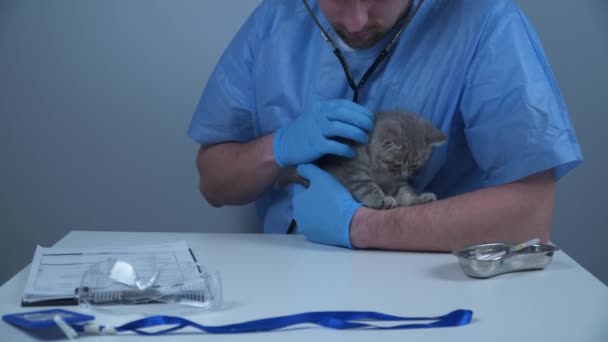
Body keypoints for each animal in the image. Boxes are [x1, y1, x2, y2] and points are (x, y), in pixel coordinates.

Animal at [278, 111, 444, 210]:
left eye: (415, 165)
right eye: (397, 164)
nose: (405, 175)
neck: (381, 170)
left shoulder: (395, 182)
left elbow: (404, 192)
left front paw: (417, 199)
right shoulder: (353, 170)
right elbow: (366, 185)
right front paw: (382, 199)